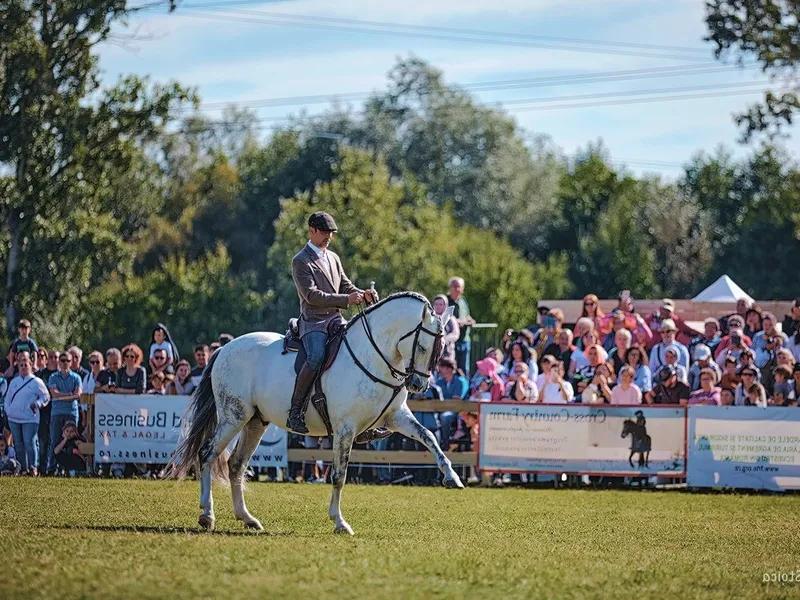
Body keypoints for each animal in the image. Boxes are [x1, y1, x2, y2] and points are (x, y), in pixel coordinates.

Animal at [172, 290, 466, 536]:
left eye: (442, 349)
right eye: (422, 347)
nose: (419, 385)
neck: (373, 356)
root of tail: (226, 348)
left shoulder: (396, 417)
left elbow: (429, 437)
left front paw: (452, 477)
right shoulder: (345, 428)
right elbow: (339, 475)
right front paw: (340, 522)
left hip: (255, 422)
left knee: (236, 465)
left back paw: (247, 518)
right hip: (234, 417)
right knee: (207, 454)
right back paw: (207, 515)